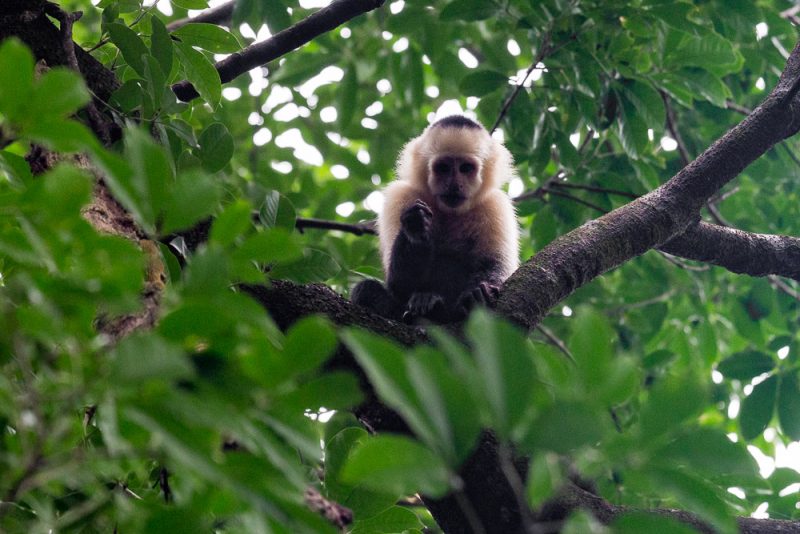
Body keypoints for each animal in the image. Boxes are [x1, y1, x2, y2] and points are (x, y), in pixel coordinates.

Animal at [351, 115, 519, 323]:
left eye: (465, 168)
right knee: (365, 290)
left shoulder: (495, 205)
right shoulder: (400, 196)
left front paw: (479, 291)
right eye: (443, 168)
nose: (454, 185)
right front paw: (415, 227)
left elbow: (496, 263)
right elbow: (399, 285)